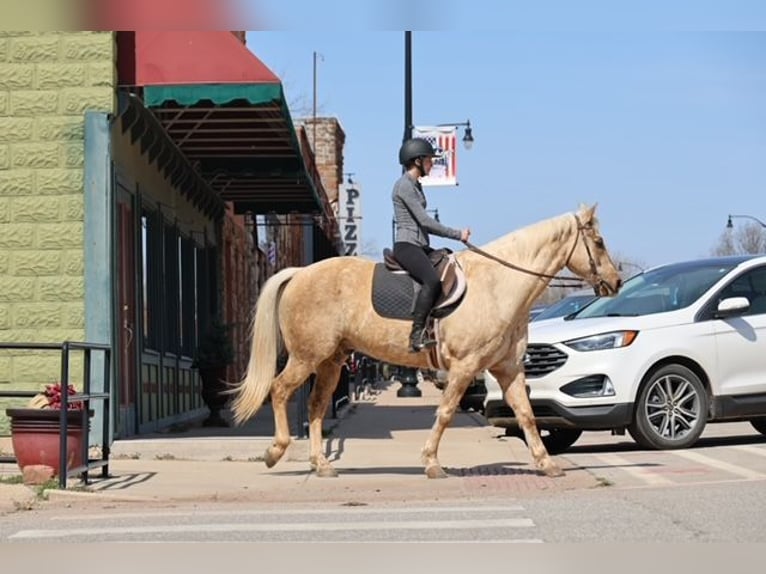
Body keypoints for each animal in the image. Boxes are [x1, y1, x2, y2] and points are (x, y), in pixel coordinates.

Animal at [231, 204, 622, 479]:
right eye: (599, 242)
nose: (616, 282)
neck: (497, 284)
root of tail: (299, 273)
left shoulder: (507, 368)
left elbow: (525, 414)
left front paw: (546, 463)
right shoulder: (465, 366)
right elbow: (446, 413)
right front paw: (432, 462)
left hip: (331, 361)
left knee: (314, 406)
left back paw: (321, 465)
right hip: (307, 357)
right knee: (280, 390)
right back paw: (275, 451)